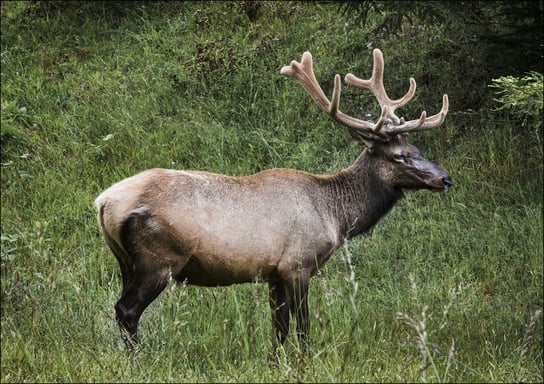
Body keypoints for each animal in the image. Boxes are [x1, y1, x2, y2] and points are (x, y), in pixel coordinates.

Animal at [95, 48, 452, 352]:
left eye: (417, 149)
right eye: (399, 156)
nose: (444, 178)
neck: (335, 217)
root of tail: (103, 203)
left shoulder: (273, 273)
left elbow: (278, 329)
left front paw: (277, 363)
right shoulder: (298, 263)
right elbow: (303, 326)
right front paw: (307, 361)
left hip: (126, 262)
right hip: (159, 258)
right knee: (127, 310)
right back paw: (141, 357)